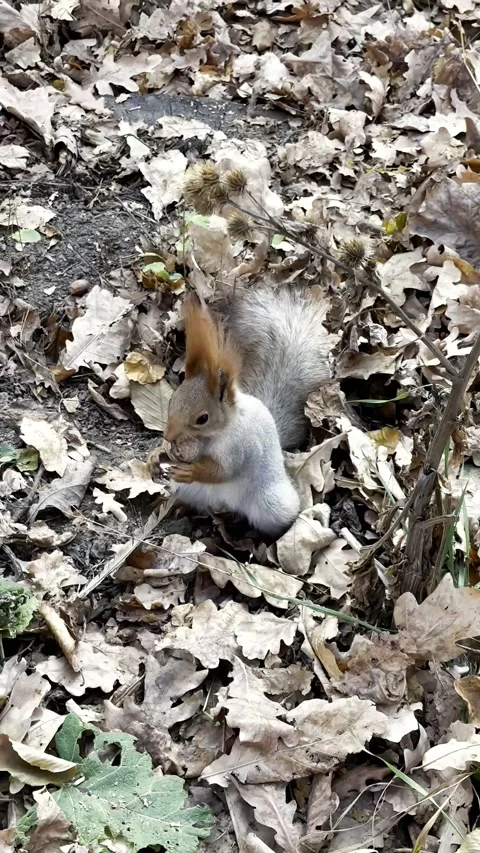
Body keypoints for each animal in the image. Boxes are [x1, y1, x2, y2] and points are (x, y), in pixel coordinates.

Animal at [148, 287, 333, 539]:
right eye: (172, 401)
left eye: (202, 418)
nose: (168, 436)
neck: (216, 433)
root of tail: (225, 504)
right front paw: (156, 455)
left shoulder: (241, 446)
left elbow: (223, 471)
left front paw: (192, 470)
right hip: (191, 491)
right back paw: (179, 506)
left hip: (271, 503)